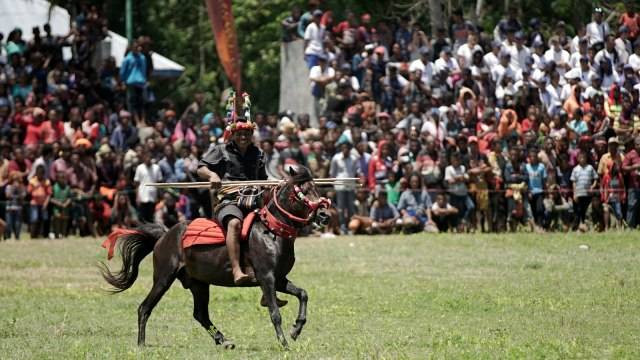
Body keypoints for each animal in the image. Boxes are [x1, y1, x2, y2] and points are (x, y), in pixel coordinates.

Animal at [101, 166, 330, 348]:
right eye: (303, 192)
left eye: (316, 188)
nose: (324, 215)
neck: (271, 231)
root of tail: (164, 235)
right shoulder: (267, 278)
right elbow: (274, 312)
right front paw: (283, 343)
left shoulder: (279, 279)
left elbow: (303, 294)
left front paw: (296, 329)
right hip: (164, 278)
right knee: (145, 308)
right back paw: (141, 343)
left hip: (199, 283)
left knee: (200, 314)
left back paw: (224, 340)